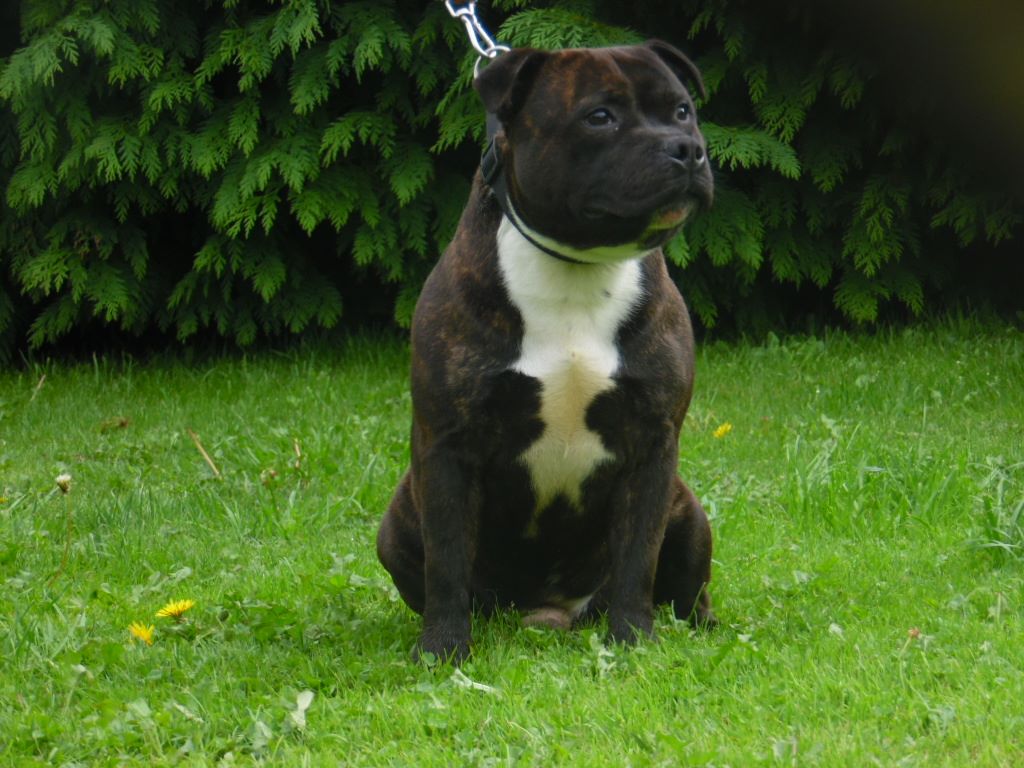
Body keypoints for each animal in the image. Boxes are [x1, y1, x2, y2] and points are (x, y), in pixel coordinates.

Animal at [378, 39, 720, 663]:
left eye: (682, 110)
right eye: (599, 117)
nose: (687, 149)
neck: (580, 267)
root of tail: (553, 612)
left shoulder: (653, 444)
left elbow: (638, 556)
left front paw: (632, 641)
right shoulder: (447, 447)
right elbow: (446, 563)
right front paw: (442, 650)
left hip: (688, 510)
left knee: (687, 589)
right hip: (396, 523)